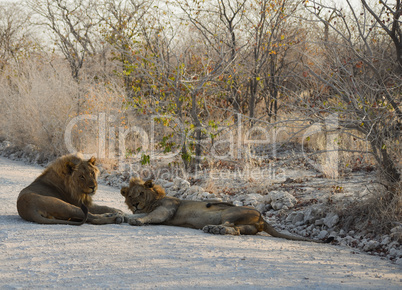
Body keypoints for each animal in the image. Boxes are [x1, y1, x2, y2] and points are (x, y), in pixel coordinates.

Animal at [120, 177, 332, 242]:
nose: (135, 204)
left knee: (231, 226)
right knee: (238, 230)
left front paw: (136, 219)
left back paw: (214, 229)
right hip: (248, 226)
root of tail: (262, 218)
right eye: (130, 196)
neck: (154, 199)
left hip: (230, 212)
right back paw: (216, 229)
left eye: (141, 194)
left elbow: (150, 215)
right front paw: (126, 215)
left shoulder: (167, 210)